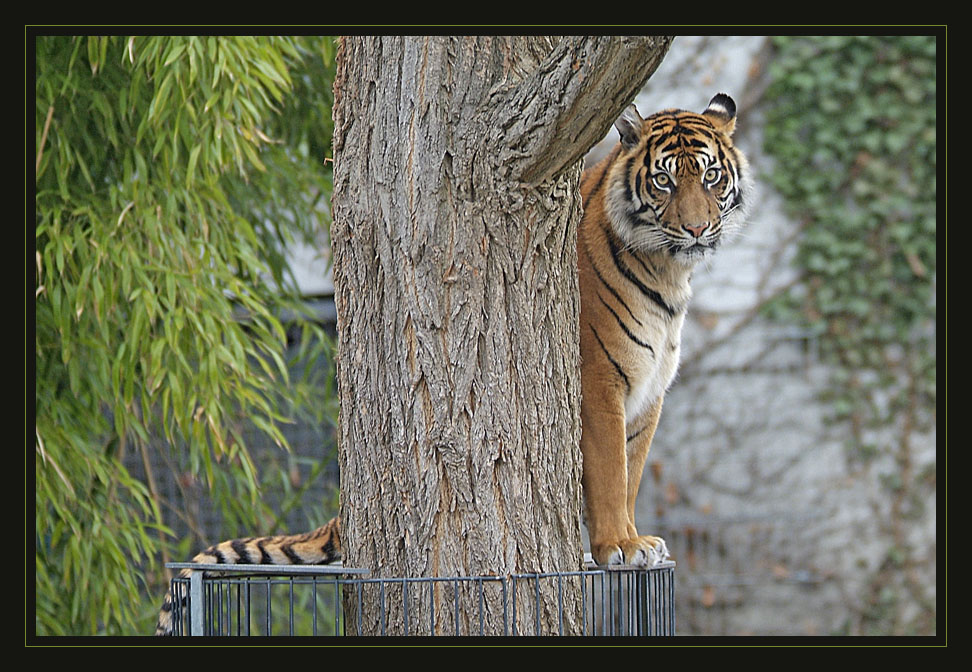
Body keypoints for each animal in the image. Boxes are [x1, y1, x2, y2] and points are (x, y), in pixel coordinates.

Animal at [576, 93, 752, 568]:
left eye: (711, 176)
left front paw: (638, 540)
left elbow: (632, 471)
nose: (696, 229)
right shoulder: (599, 380)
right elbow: (610, 469)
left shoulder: (651, 388)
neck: (667, 275)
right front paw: (617, 545)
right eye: (663, 181)